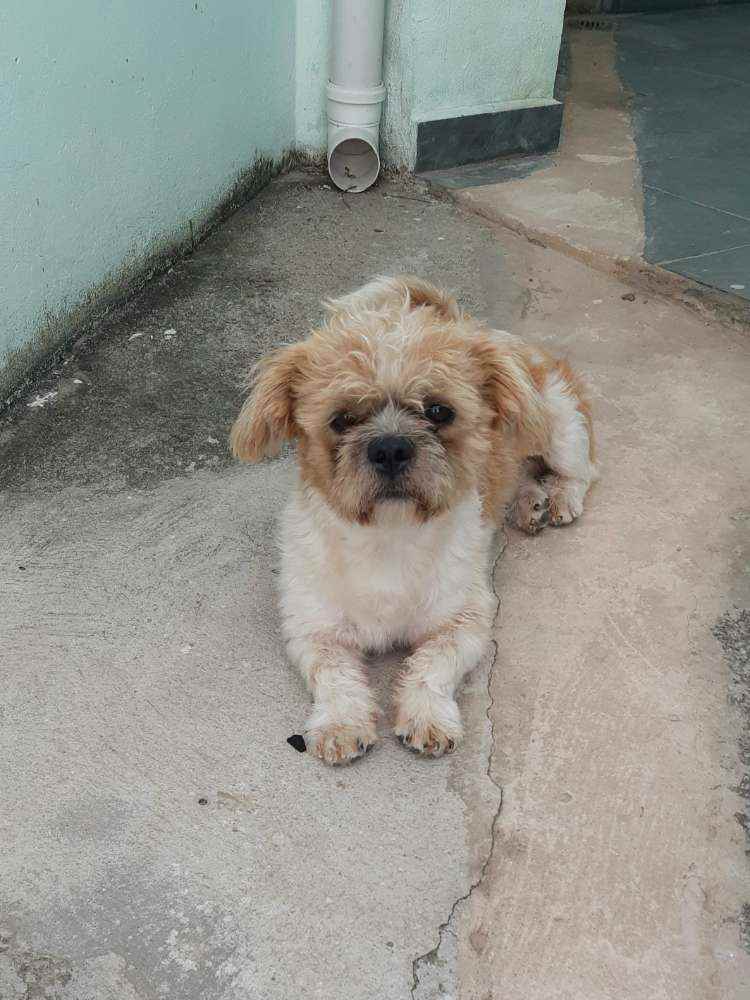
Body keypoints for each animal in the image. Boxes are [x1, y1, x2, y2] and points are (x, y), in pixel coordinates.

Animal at [230, 276, 596, 764]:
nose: (390, 448)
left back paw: (559, 497)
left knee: (581, 469)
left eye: (439, 411)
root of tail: (467, 322)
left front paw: (427, 716)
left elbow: (430, 666)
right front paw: (342, 723)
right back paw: (528, 502)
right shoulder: (313, 628)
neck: (389, 536)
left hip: (558, 425)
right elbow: (336, 677)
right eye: (341, 419)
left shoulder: (464, 621)